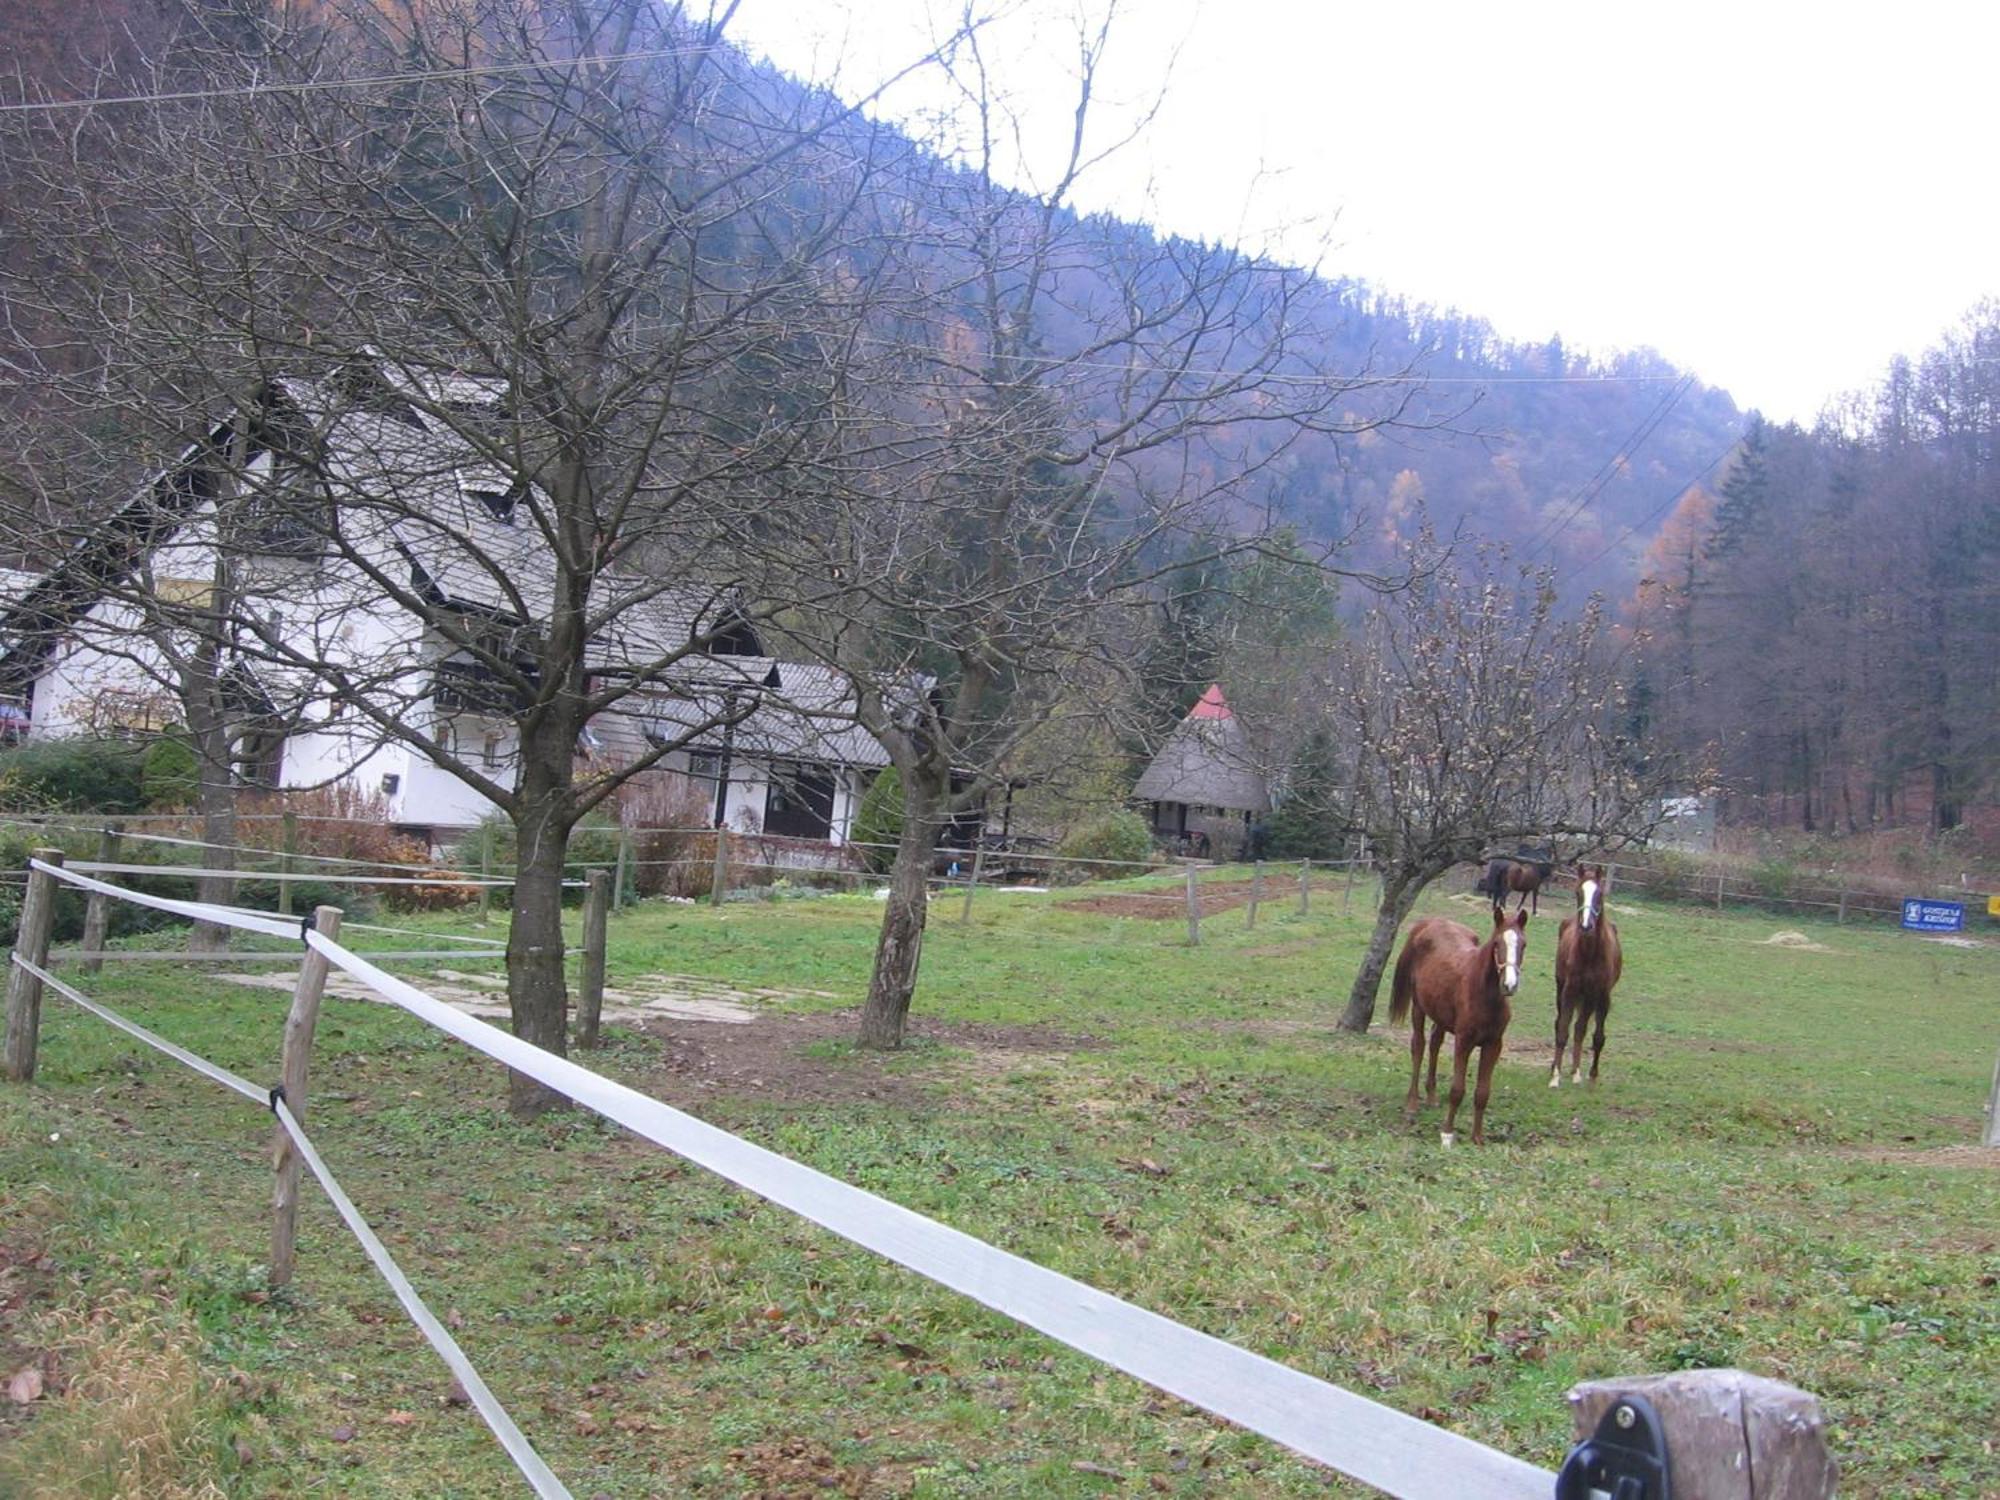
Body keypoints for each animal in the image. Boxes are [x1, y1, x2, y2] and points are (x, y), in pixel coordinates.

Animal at [1392, 904, 1528, 1152]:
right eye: (1497, 943)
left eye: (1523, 944)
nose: (1509, 985)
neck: (1485, 996)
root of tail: (1429, 923)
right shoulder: (1464, 1041)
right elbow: (1457, 1090)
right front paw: (1447, 1134)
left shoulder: (1494, 1044)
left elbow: (1482, 1093)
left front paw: (1478, 1137)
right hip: (1419, 1007)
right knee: (1419, 1046)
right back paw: (1412, 1103)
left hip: (1441, 1016)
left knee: (1435, 1044)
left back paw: (1432, 1097)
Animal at [1544, 868, 1624, 1096]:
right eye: (1578, 893)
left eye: (1599, 895)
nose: (1586, 926)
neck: (1590, 953)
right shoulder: (1570, 990)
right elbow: (1562, 1031)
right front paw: (1555, 1077)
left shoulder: (1602, 995)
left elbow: (1597, 1036)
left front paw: (1592, 1077)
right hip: (1564, 989)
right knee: (1563, 1024)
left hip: (1589, 998)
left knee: (1581, 1028)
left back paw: (1576, 1072)